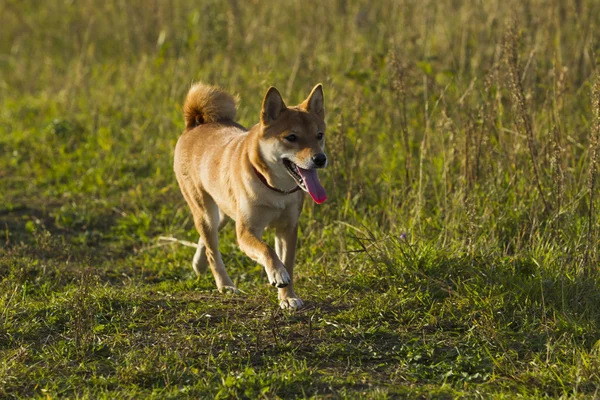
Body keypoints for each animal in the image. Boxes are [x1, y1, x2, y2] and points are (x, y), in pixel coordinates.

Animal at [173, 83, 328, 310]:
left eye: (319, 135)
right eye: (291, 137)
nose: (320, 158)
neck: (276, 190)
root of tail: (195, 123)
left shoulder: (287, 228)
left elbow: (288, 263)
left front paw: (287, 297)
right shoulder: (246, 231)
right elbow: (268, 250)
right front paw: (277, 274)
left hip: (224, 210)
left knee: (208, 240)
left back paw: (199, 264)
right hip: (205, 212)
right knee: (213, 251)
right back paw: (225, 285)